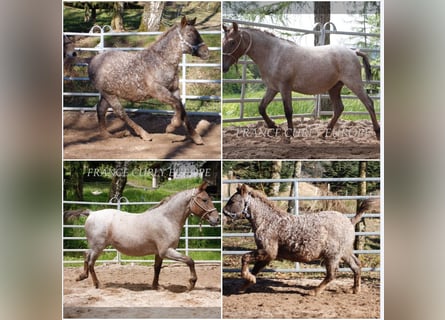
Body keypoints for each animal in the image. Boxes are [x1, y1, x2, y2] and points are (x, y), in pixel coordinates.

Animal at [65, 182, 219, 290]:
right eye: (204, 199)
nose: (217, 219)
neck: (167, 219)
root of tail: (91, 213)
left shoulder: (159, 253)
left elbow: (157, 268)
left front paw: (156, 286)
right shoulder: (166, 251)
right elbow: (190, 261)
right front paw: (191, 283)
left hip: (95, 247)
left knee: (86, 255)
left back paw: (81, 276)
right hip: (98, 247)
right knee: (91, 261)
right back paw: (97, 284)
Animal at [89, 15, 211, 144]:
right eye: (189, 34)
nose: (206, 52)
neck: (161, 61)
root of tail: (92, 61)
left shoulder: (174, 90)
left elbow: (182, 109)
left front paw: (196, 137)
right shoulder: (158, 92)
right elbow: (178, 106)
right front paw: (171, 126)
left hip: (108, 94)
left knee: (101, 110)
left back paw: (111, 134)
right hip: (110, 95)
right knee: (121, 113)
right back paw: (144, 134)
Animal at [222, 23, 378, 141]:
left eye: (232, 42)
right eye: (223, 42)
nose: (224, 67)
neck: (273, 53)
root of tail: (353, 52)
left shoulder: (285, 87)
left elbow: (288, 111)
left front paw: (288, 135)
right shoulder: (272, 88)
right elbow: (261, 108)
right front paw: (276, 128)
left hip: (354, 83)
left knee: (369, 103)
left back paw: (377, 132)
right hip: (334, 87)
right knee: (339, 108)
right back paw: (324, 134)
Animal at [222, 184, 374, 296]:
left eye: (232, 201)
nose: (222, 216)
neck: (267, 221)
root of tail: (350, 221)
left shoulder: (268, 251)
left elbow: (245, 258)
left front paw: (248, 279)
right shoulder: (267, 255)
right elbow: (255, 269)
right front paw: (244, 286)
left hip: (332, 255)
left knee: (332, 274)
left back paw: (314, 291)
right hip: (345, 253)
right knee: (356, 266)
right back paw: (355, 289)